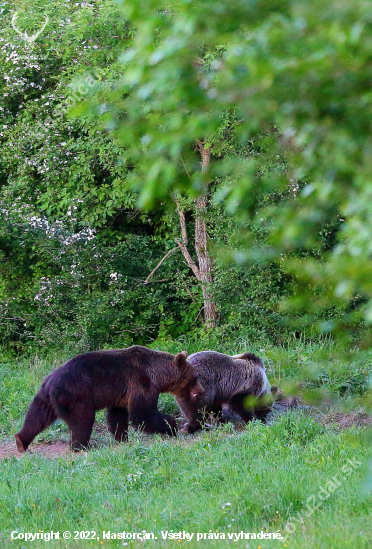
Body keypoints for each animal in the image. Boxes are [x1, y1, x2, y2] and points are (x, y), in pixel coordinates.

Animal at [16, 344, 205, 452]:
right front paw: (171, 425)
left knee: (36, 417)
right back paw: (80, 446)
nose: (202, 391)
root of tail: (51, 381)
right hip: (76, 394)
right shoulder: (140, 382)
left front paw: (122, 438)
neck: (157, 375)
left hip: (45, 396)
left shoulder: (121, 392)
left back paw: (21, 441)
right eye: (195, 377)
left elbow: (118, 416)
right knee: (82, 420)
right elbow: (142, 413)